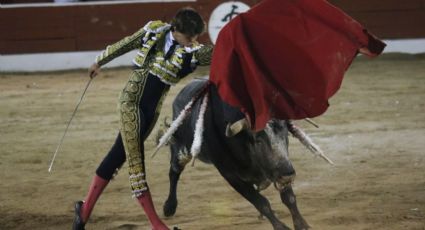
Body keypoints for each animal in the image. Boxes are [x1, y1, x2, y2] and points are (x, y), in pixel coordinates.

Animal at [161, 78, 310, 229]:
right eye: (258, 140)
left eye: (286, 135)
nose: (287, 174)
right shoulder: (230, 174)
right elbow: (260, 202)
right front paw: (280, 226)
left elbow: (289, 198)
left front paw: (302, 224)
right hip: (180, 150)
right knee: (174, 172)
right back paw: (169, 207)